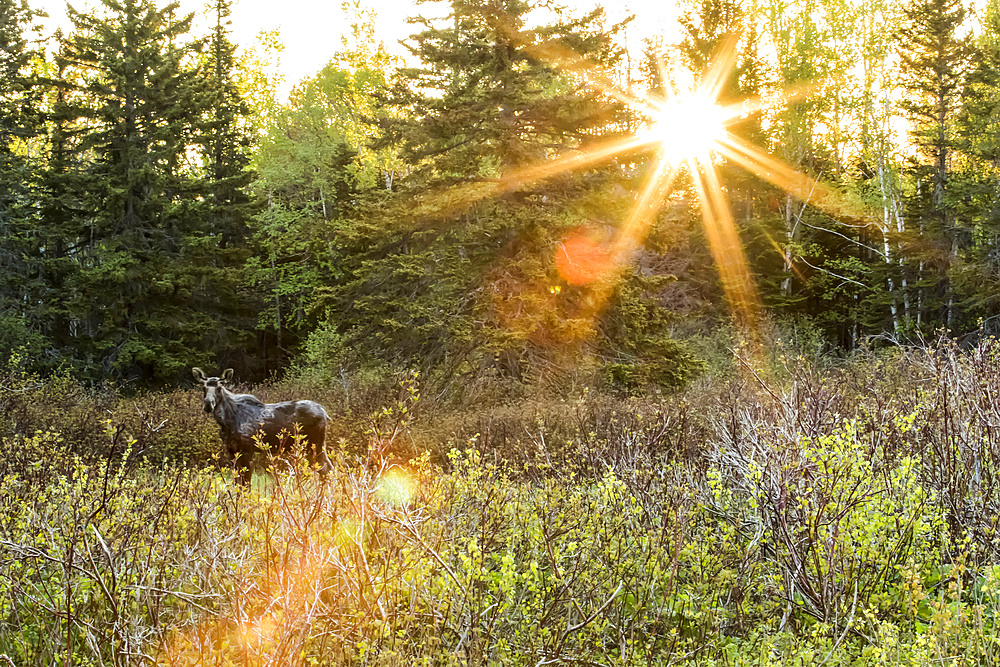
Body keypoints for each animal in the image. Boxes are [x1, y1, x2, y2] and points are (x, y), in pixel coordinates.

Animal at [193, 366, 334, 486]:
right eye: (203, 388)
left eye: (219, 388)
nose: (208, 404)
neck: (227, 422)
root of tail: (325, 413)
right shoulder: (231, 450)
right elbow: (237, 482)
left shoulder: (247, 450)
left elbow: (246, 483)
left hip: (314, 444)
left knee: (327, 469)